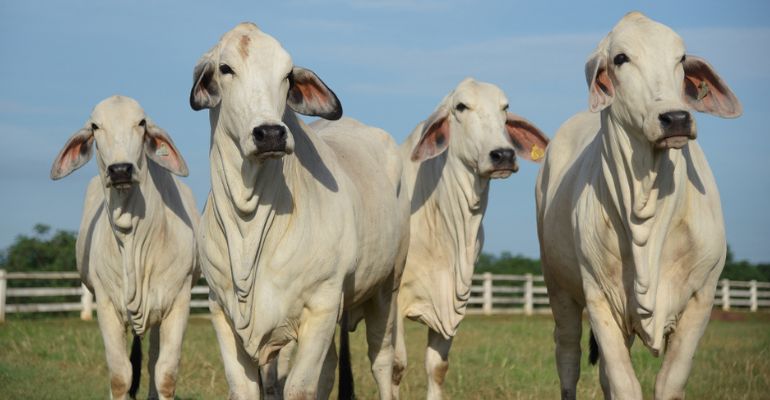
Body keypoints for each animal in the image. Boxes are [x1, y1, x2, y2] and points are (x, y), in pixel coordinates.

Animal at [49, 96, 196, 400]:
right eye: (95, 126)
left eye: (141, 123)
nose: (119, 170)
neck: (132, 240)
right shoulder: (106, 303)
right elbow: (119, 377)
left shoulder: (179, 299)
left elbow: (165, 374)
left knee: (153, 359)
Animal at [189, 22, 412, 400]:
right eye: (226, 68)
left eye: (287, 74)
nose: (270, 133)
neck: (248, 224)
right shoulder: (220, 310)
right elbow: (247, 388)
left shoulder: (321, 304)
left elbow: (301, 388)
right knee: (331, 368)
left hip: (386, 287)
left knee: (383, 364)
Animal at [392, 79, 548, 400]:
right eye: (461, 106)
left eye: (505, 107)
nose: (503, 155)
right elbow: (396, 367)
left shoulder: (455, 302)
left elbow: (437, 368)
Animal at [536, 10, 740, 398]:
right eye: (620, 58)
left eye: (681, 58)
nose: (676, 118)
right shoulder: (599, 297)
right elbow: (625, 384)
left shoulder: (701, 297)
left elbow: (668, 382)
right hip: (560, 290)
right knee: (567, 359)